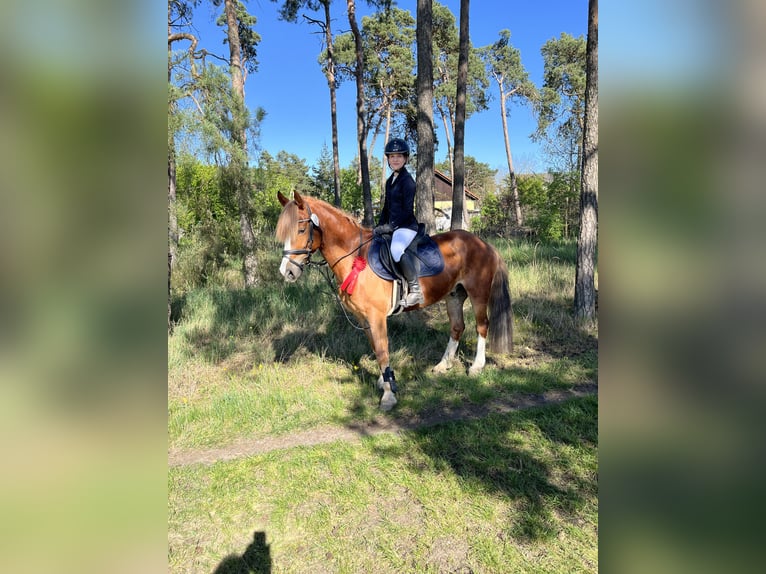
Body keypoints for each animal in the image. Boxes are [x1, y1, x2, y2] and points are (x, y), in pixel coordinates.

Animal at [276, 191, 513, 411]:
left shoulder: (376, 316)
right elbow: (375, 347)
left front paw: (389, 395)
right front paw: (384, 380)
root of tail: (483, 244)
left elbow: (382, 351)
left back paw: (476, 367)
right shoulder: (364, 319)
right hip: (454, 295)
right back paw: (443, 365)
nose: (287, 272)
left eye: (301, 230)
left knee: (482, 326)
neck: (354, 256)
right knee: (457, 327)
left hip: (478, 293)